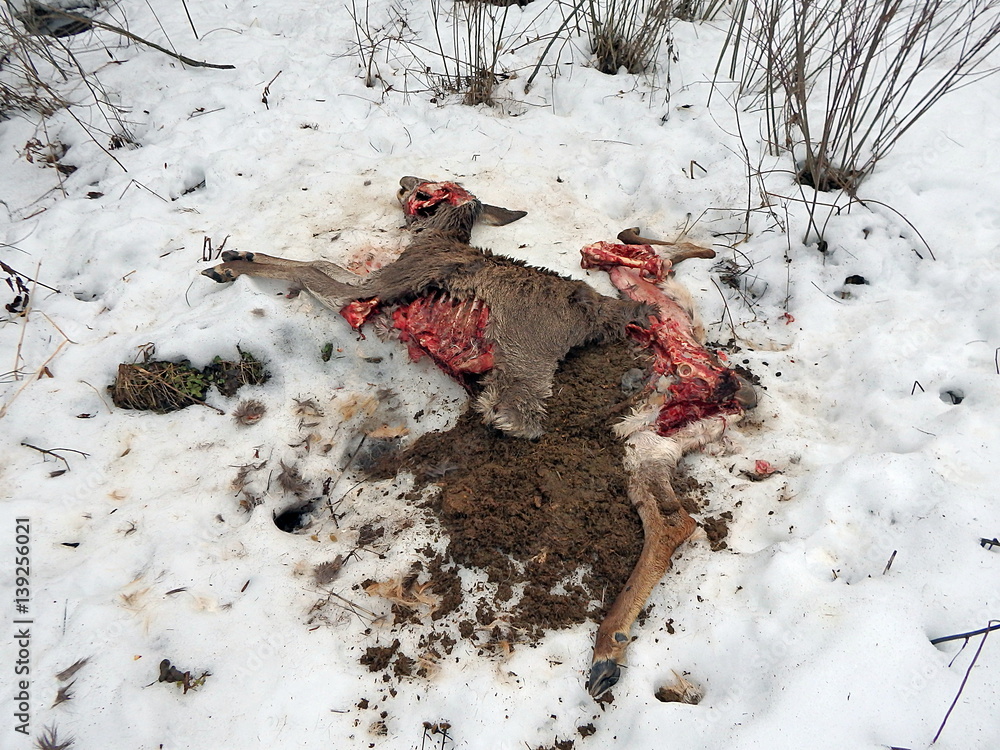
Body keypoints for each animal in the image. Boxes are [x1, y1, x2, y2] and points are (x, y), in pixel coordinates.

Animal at [201, 176, 756, 697]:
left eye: (430, 184)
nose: (402, 181)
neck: (442, 240)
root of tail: (730, 389)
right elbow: (322, 265)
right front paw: (233, 257)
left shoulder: (385, 281)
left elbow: (313, 269)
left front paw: (232, 260)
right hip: (646, 434)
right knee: (673, 521)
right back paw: (608, 651)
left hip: (540, 368)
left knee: (529, 413)